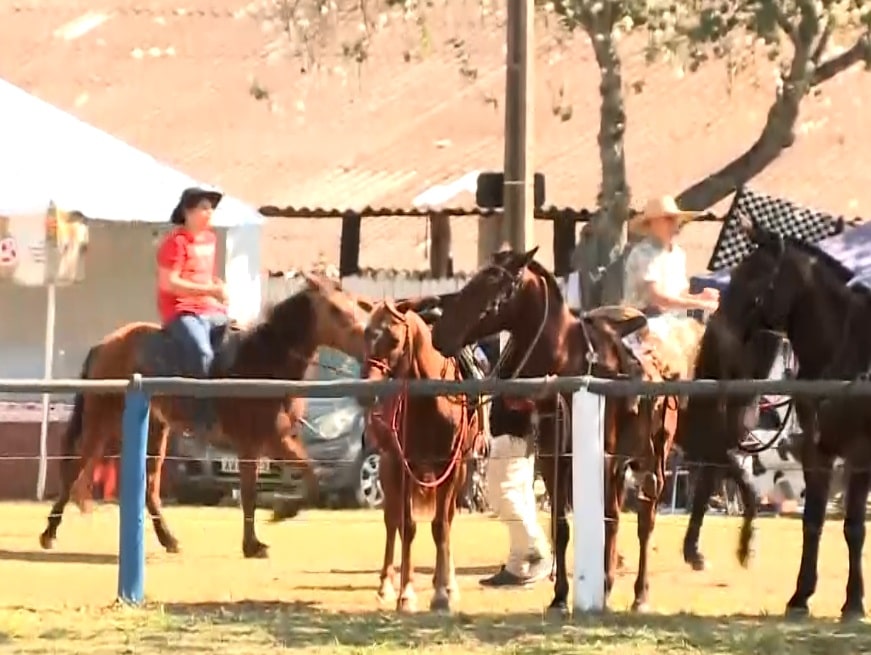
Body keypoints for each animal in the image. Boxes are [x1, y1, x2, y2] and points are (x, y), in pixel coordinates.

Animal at [40, 276, 372, 560]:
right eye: (335, 309)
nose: (367, 341)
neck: (265, 362)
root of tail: (105, 345)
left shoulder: (279, 439)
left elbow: (312, 477)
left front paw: (281, 511)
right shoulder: (253, 444)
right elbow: (251, 493)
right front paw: (254, 544)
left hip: (155, 430)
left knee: (149, 486)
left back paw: (169, 539)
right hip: (101, 422)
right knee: (75, 470)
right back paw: (49, 533)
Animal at [362, 302, 484, 616]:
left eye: (394, 339)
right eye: (366, 333)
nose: (369, 388)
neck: (431, 402)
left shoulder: (451, 467)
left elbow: (441, 527)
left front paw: (441, 594)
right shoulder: (399, 465)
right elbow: (407, 527)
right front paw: (405, 594)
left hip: (459, 473)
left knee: (447, 520)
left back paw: (448, 583)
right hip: (388, 469)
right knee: (391, 521)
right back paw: (386, 585)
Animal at [432, 247, 704, 616]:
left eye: (492, 283)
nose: (438, 333)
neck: (568, 365)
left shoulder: (601, 459)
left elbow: (606, 521)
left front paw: (603, 586)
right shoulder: (554, 460)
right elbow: (561, 527)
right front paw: (560, 596)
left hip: (652, 457)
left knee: (643, 520)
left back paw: (639, 594)